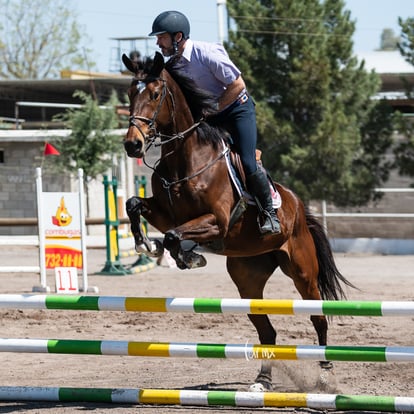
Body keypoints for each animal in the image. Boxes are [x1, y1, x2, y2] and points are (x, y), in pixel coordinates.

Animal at [121, 51, 354, 392]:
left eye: (153, 94)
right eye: (129, 94)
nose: (132, 145)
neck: (185, 159)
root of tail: (298, 205)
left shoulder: (217, 221)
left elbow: (176, 236)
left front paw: (188, 256)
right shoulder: (165, 214)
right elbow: (134, 205)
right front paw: (145, 244)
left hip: (302, 272)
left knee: (318, 317)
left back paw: (325, 375)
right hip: (247, 277)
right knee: (267, 331)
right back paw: (262, 381)